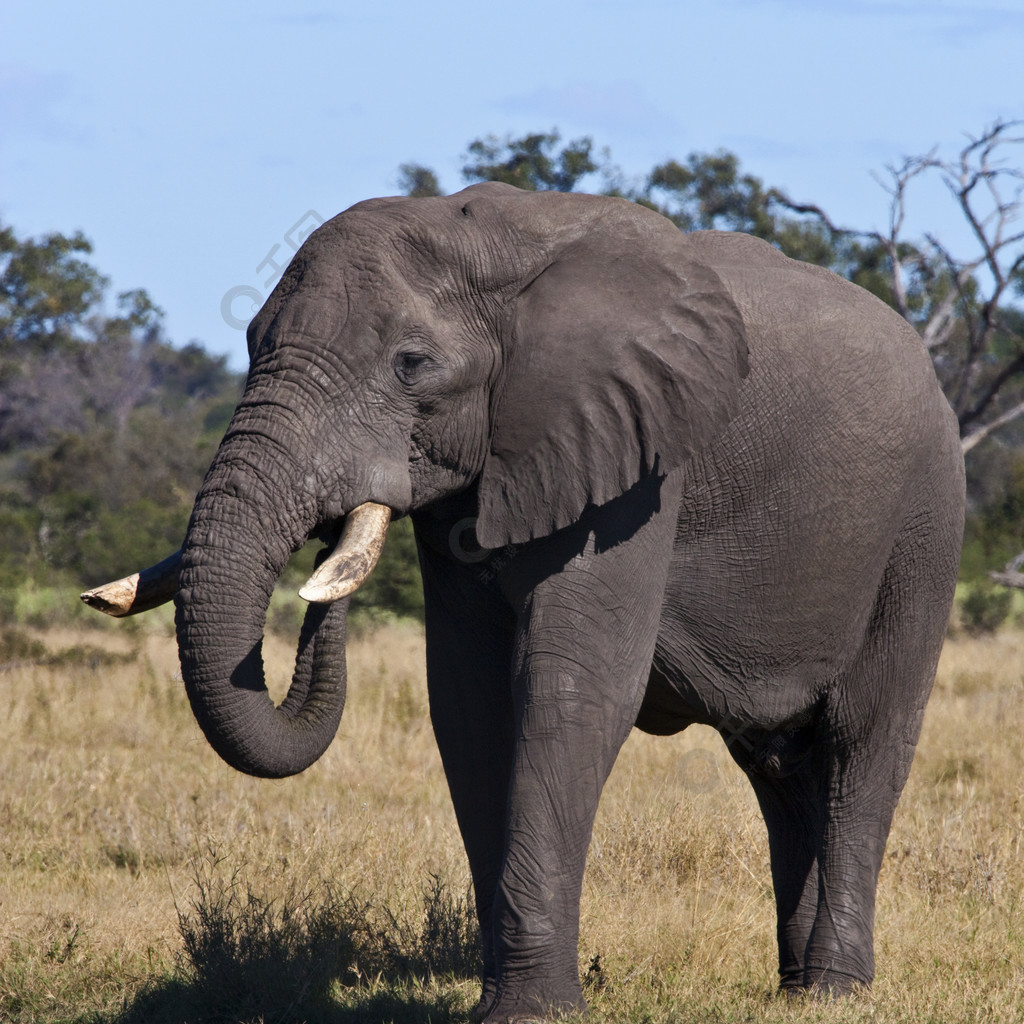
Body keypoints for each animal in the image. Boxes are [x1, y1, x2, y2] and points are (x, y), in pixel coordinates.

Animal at [83, 186, 962, 1024]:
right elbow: (468, 703)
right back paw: (793, 991)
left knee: (862, 743)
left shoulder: (636, 459)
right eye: (251, 344)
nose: (329, 538)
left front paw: (534, 1012)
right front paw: (495, 1004)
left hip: (922, 528)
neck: (491, 244)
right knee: (778, 766)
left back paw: (834, 994)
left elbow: (571, 690)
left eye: (411, 364)